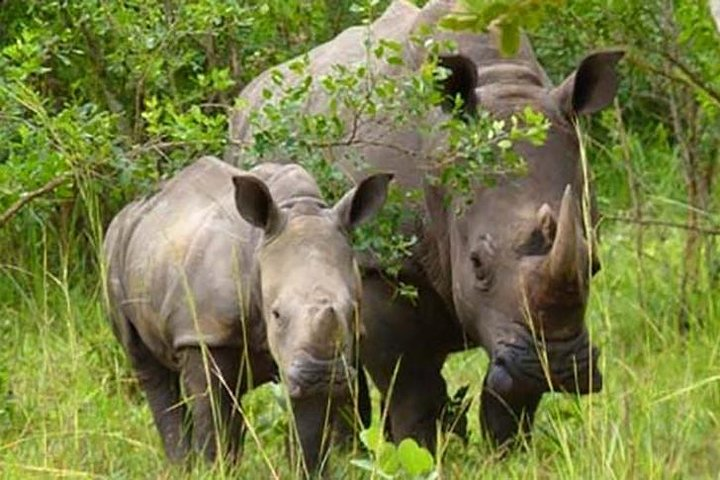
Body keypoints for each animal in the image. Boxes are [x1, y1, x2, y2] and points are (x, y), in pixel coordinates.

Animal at [103, 156, 391, 471]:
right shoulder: (204, 332)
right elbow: (211, 409)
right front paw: (211, 471)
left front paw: (309, 470)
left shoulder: (309, 357)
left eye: (352, 311)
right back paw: (182, 466)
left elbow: (309, 427)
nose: (321, 374)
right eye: (276, 314)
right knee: (148, 366)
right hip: (115, 250)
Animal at [228, 0, 623, 451]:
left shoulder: (513, 327)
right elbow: (413, 385)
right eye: (477, 264)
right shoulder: (381, 263)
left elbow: (512, 395)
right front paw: (421, 451)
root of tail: (247, 97)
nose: (556, 367)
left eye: (594, 265)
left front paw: (508, 453)